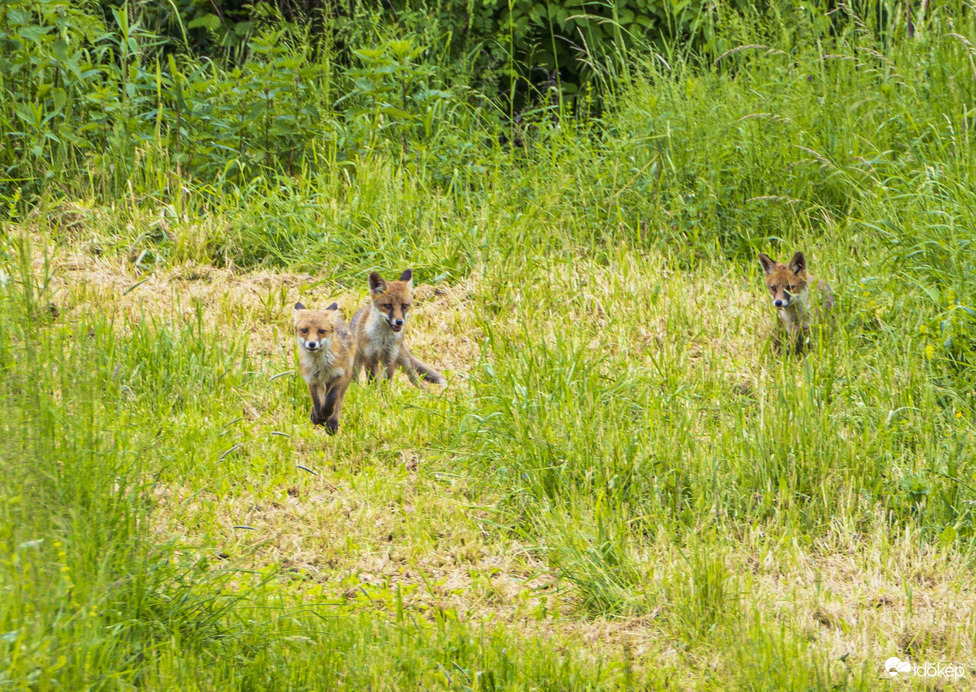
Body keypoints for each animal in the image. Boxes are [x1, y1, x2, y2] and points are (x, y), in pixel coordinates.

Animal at [294, 302, 354, 436]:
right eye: (304, 330)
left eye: (321, 331)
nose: (312, 344)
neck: (321, 366)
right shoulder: (312, 379)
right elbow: (316, 401)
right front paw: (319, 416)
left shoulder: (340, 376)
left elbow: (332, 399)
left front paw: (326, 415)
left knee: (338, 402)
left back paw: (332, 424)